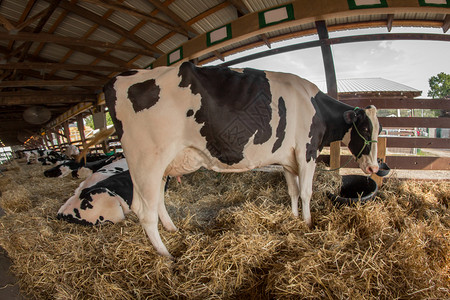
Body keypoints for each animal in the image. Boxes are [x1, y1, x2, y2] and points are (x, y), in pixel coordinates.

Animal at [101, 61, 380, 258]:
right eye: (366, 129)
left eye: (378, 129)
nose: (375, 167)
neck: (314, 106)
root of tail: (120, 77)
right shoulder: (307, 152)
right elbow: (306, 192)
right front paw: (308, 222)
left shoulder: (289, 158)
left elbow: (292, 190)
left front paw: (293, 217)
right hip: (146, 160)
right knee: (144, 210)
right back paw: (166, 255)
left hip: (163, 165)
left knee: (158, 200)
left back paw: (172, 230)